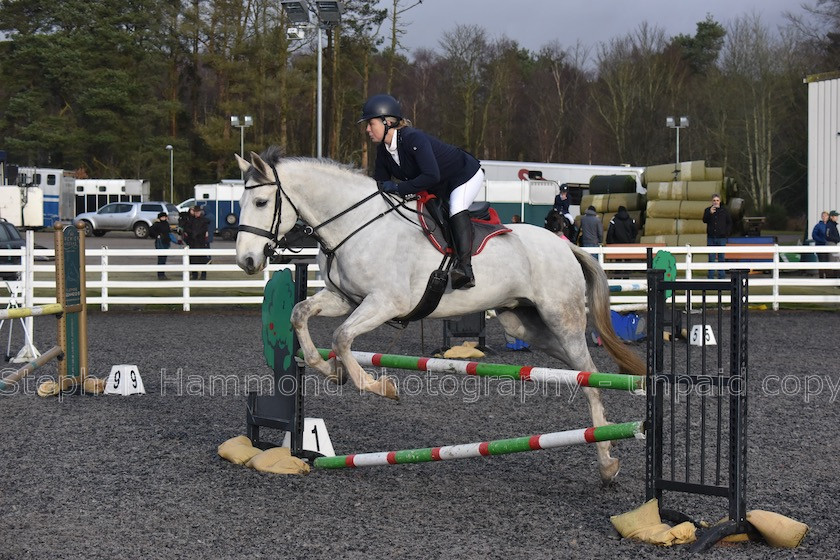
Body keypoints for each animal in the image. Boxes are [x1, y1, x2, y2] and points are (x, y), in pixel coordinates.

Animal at [235, 147, 644, 484]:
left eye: (260, 201)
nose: (247, 261)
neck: (355, 226)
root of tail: (564, 244)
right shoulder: (344, 298)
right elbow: (300, 314)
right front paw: (327, 369)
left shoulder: (385, 302)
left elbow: (342, 337)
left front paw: (378, 386)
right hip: (526, 324)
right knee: (582, 371)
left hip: (562, 317)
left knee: (589, 377)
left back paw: (608, 463)